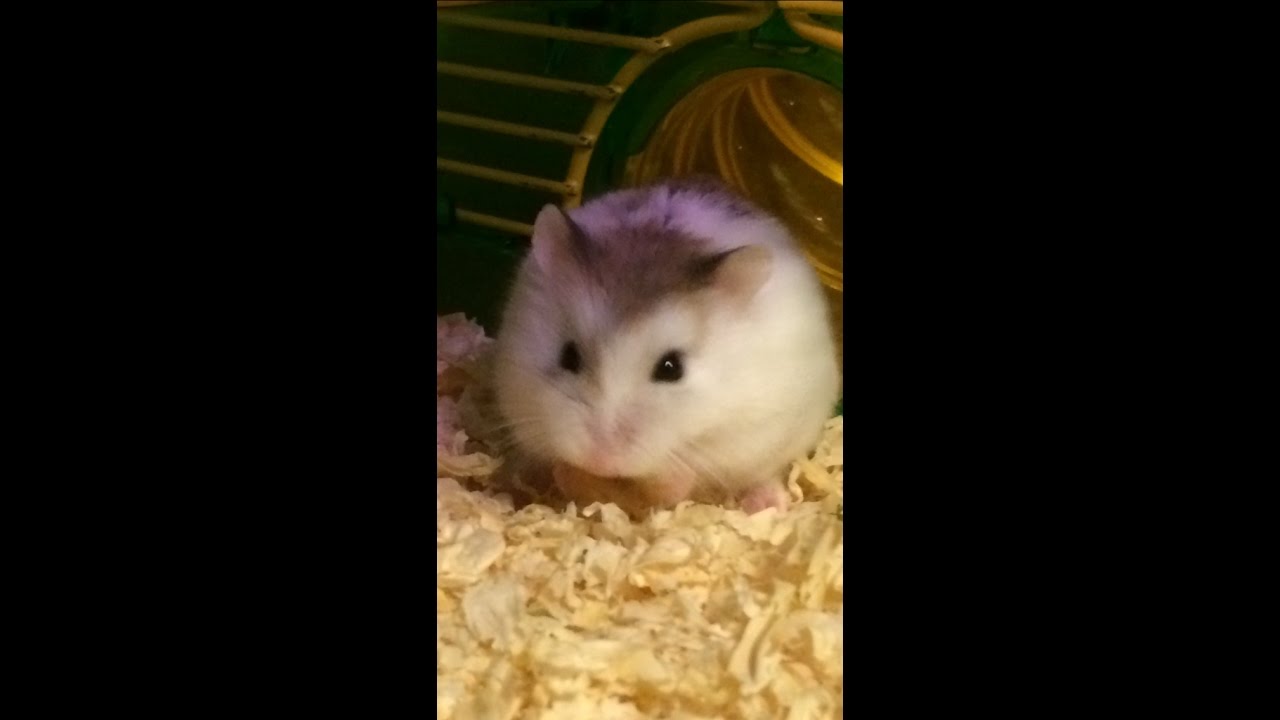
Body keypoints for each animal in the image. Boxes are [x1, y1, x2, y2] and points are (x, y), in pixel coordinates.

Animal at [491, 176, 840, 516]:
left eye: (672, 368)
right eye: (568, 356)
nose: (599, 461)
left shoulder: (743, 435)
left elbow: (684, 478)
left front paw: (670, 478)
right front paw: (570, 472)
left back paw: (767, 505)